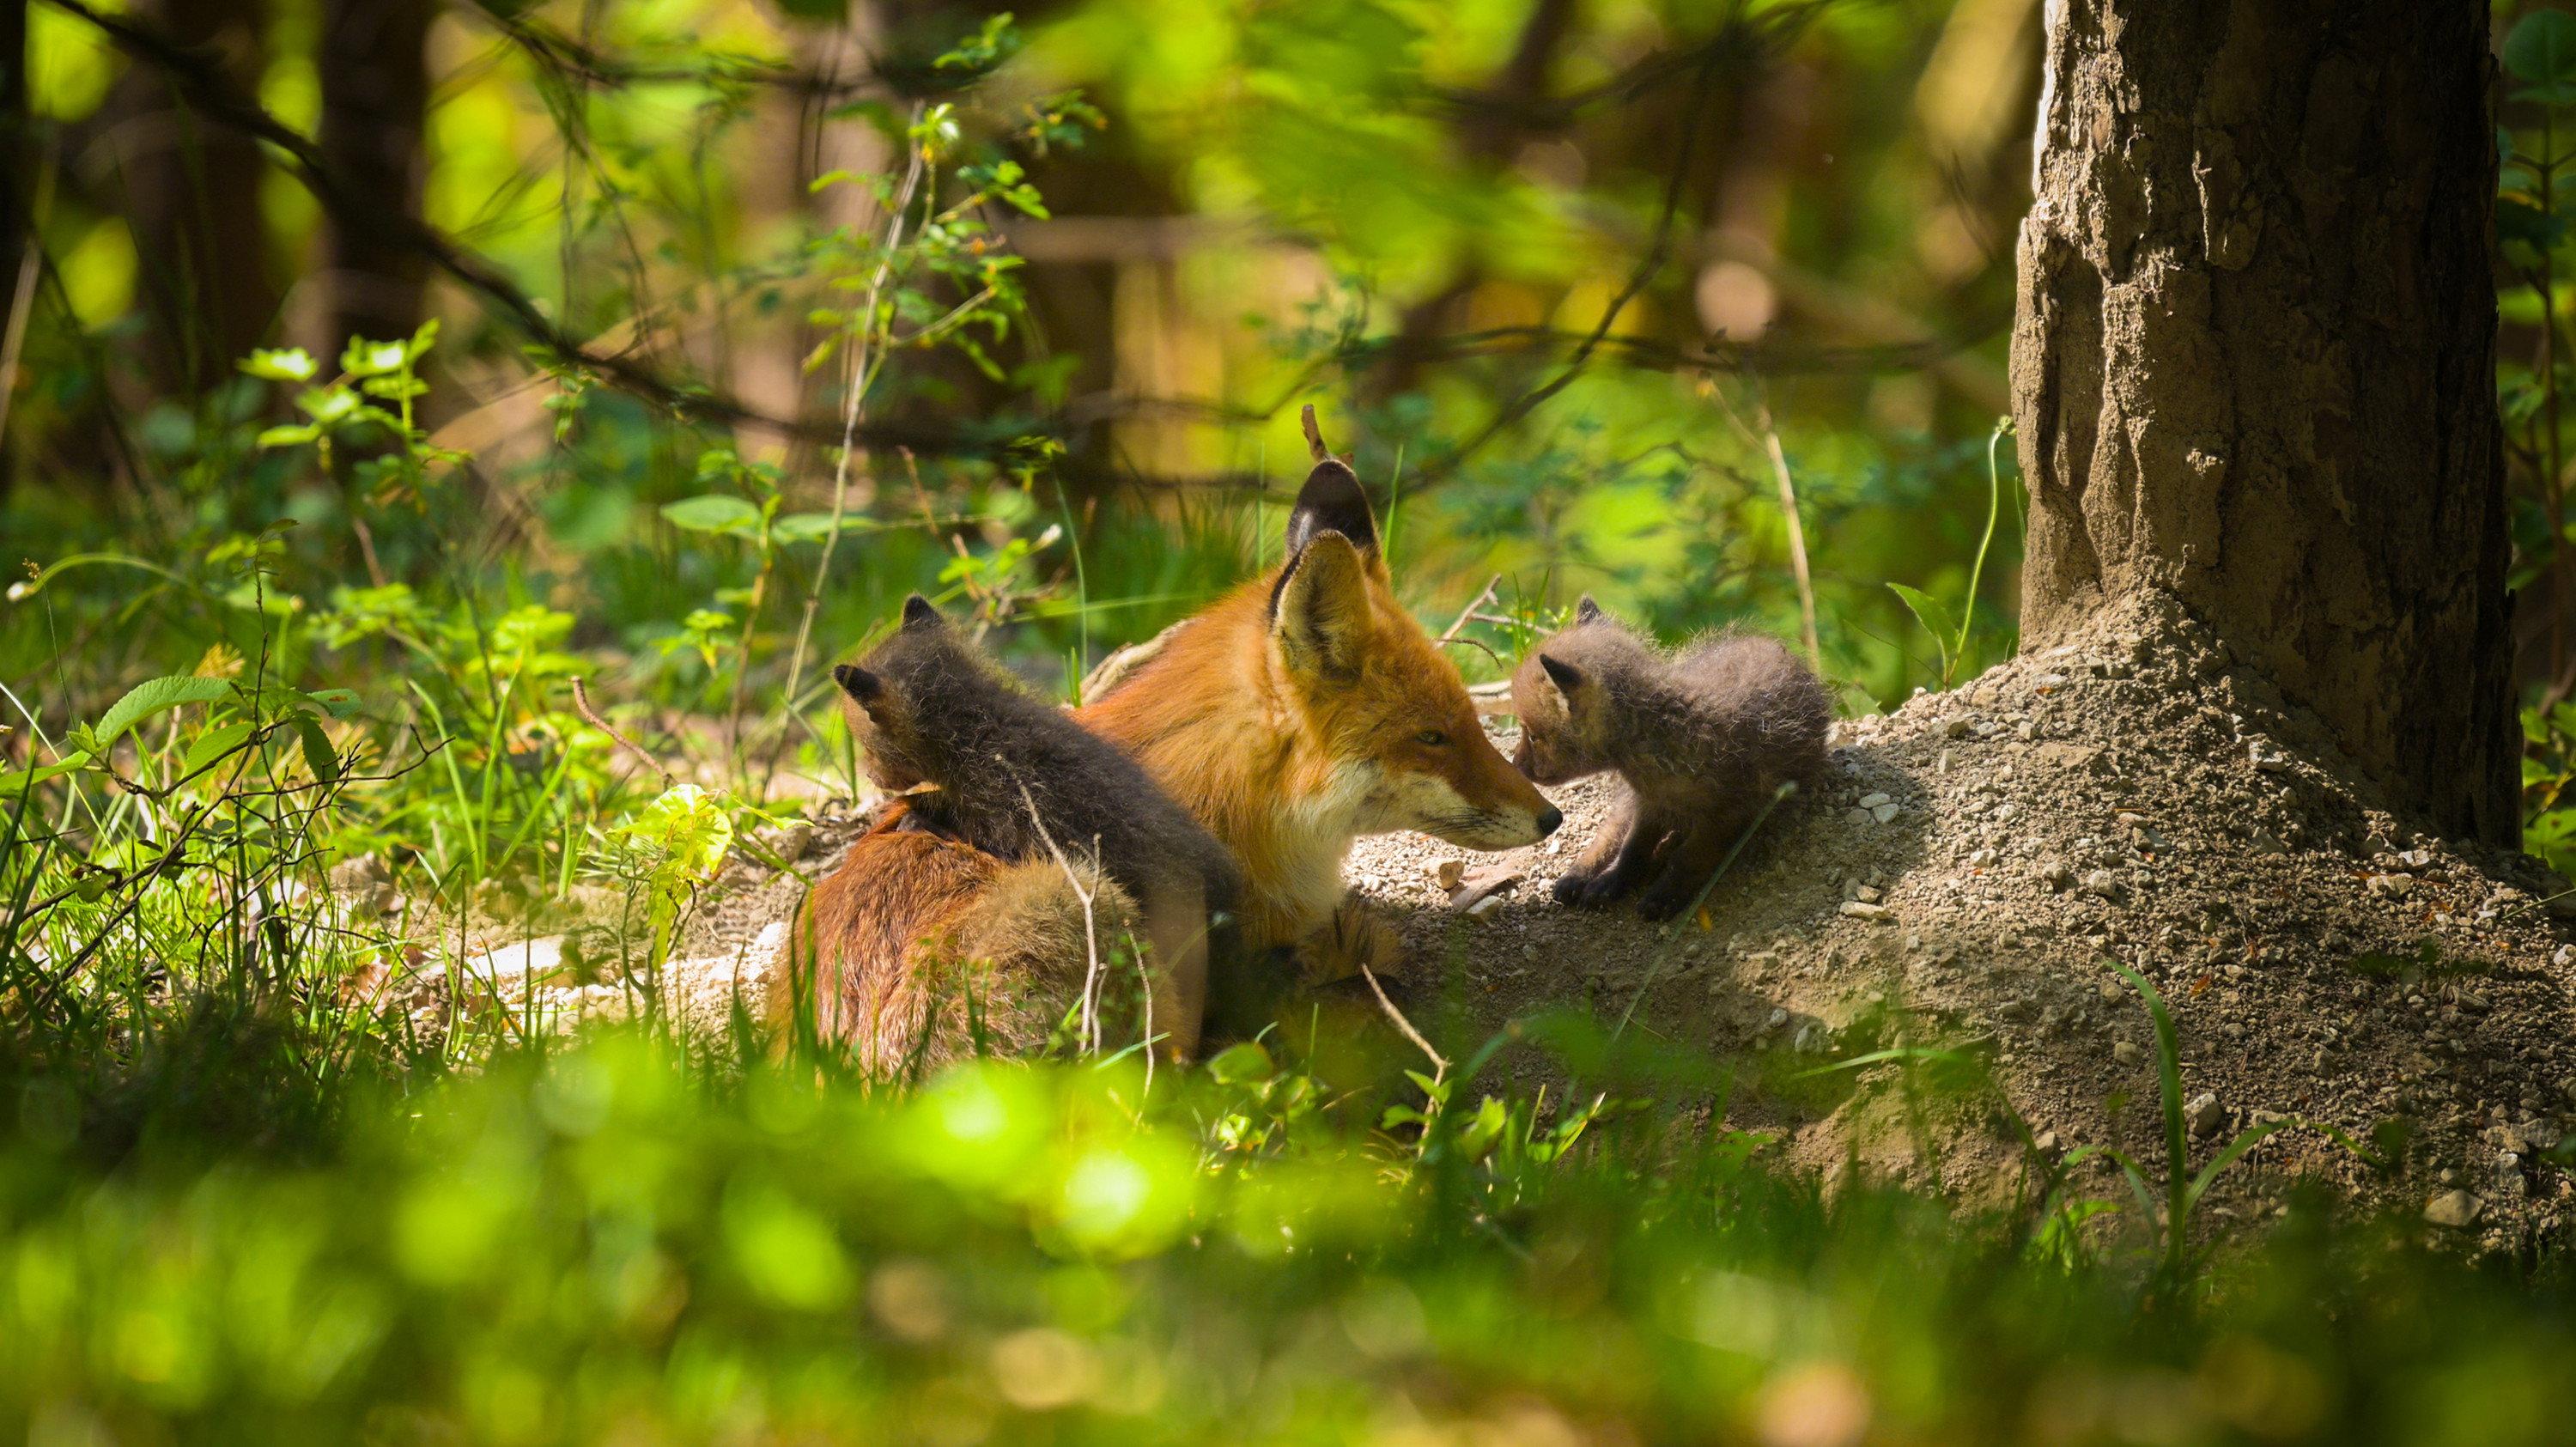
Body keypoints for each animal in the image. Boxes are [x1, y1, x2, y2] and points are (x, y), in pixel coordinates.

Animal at [1509, 597, 1831, 921]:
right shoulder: (1647, 803)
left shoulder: (1726, 814)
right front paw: (1612, 881)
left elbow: (1687, 859)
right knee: (1608, 832)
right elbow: (1632, 849)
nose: (1515, 765)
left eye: (1533, 736)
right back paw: (1576, 876)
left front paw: (1664, 896)